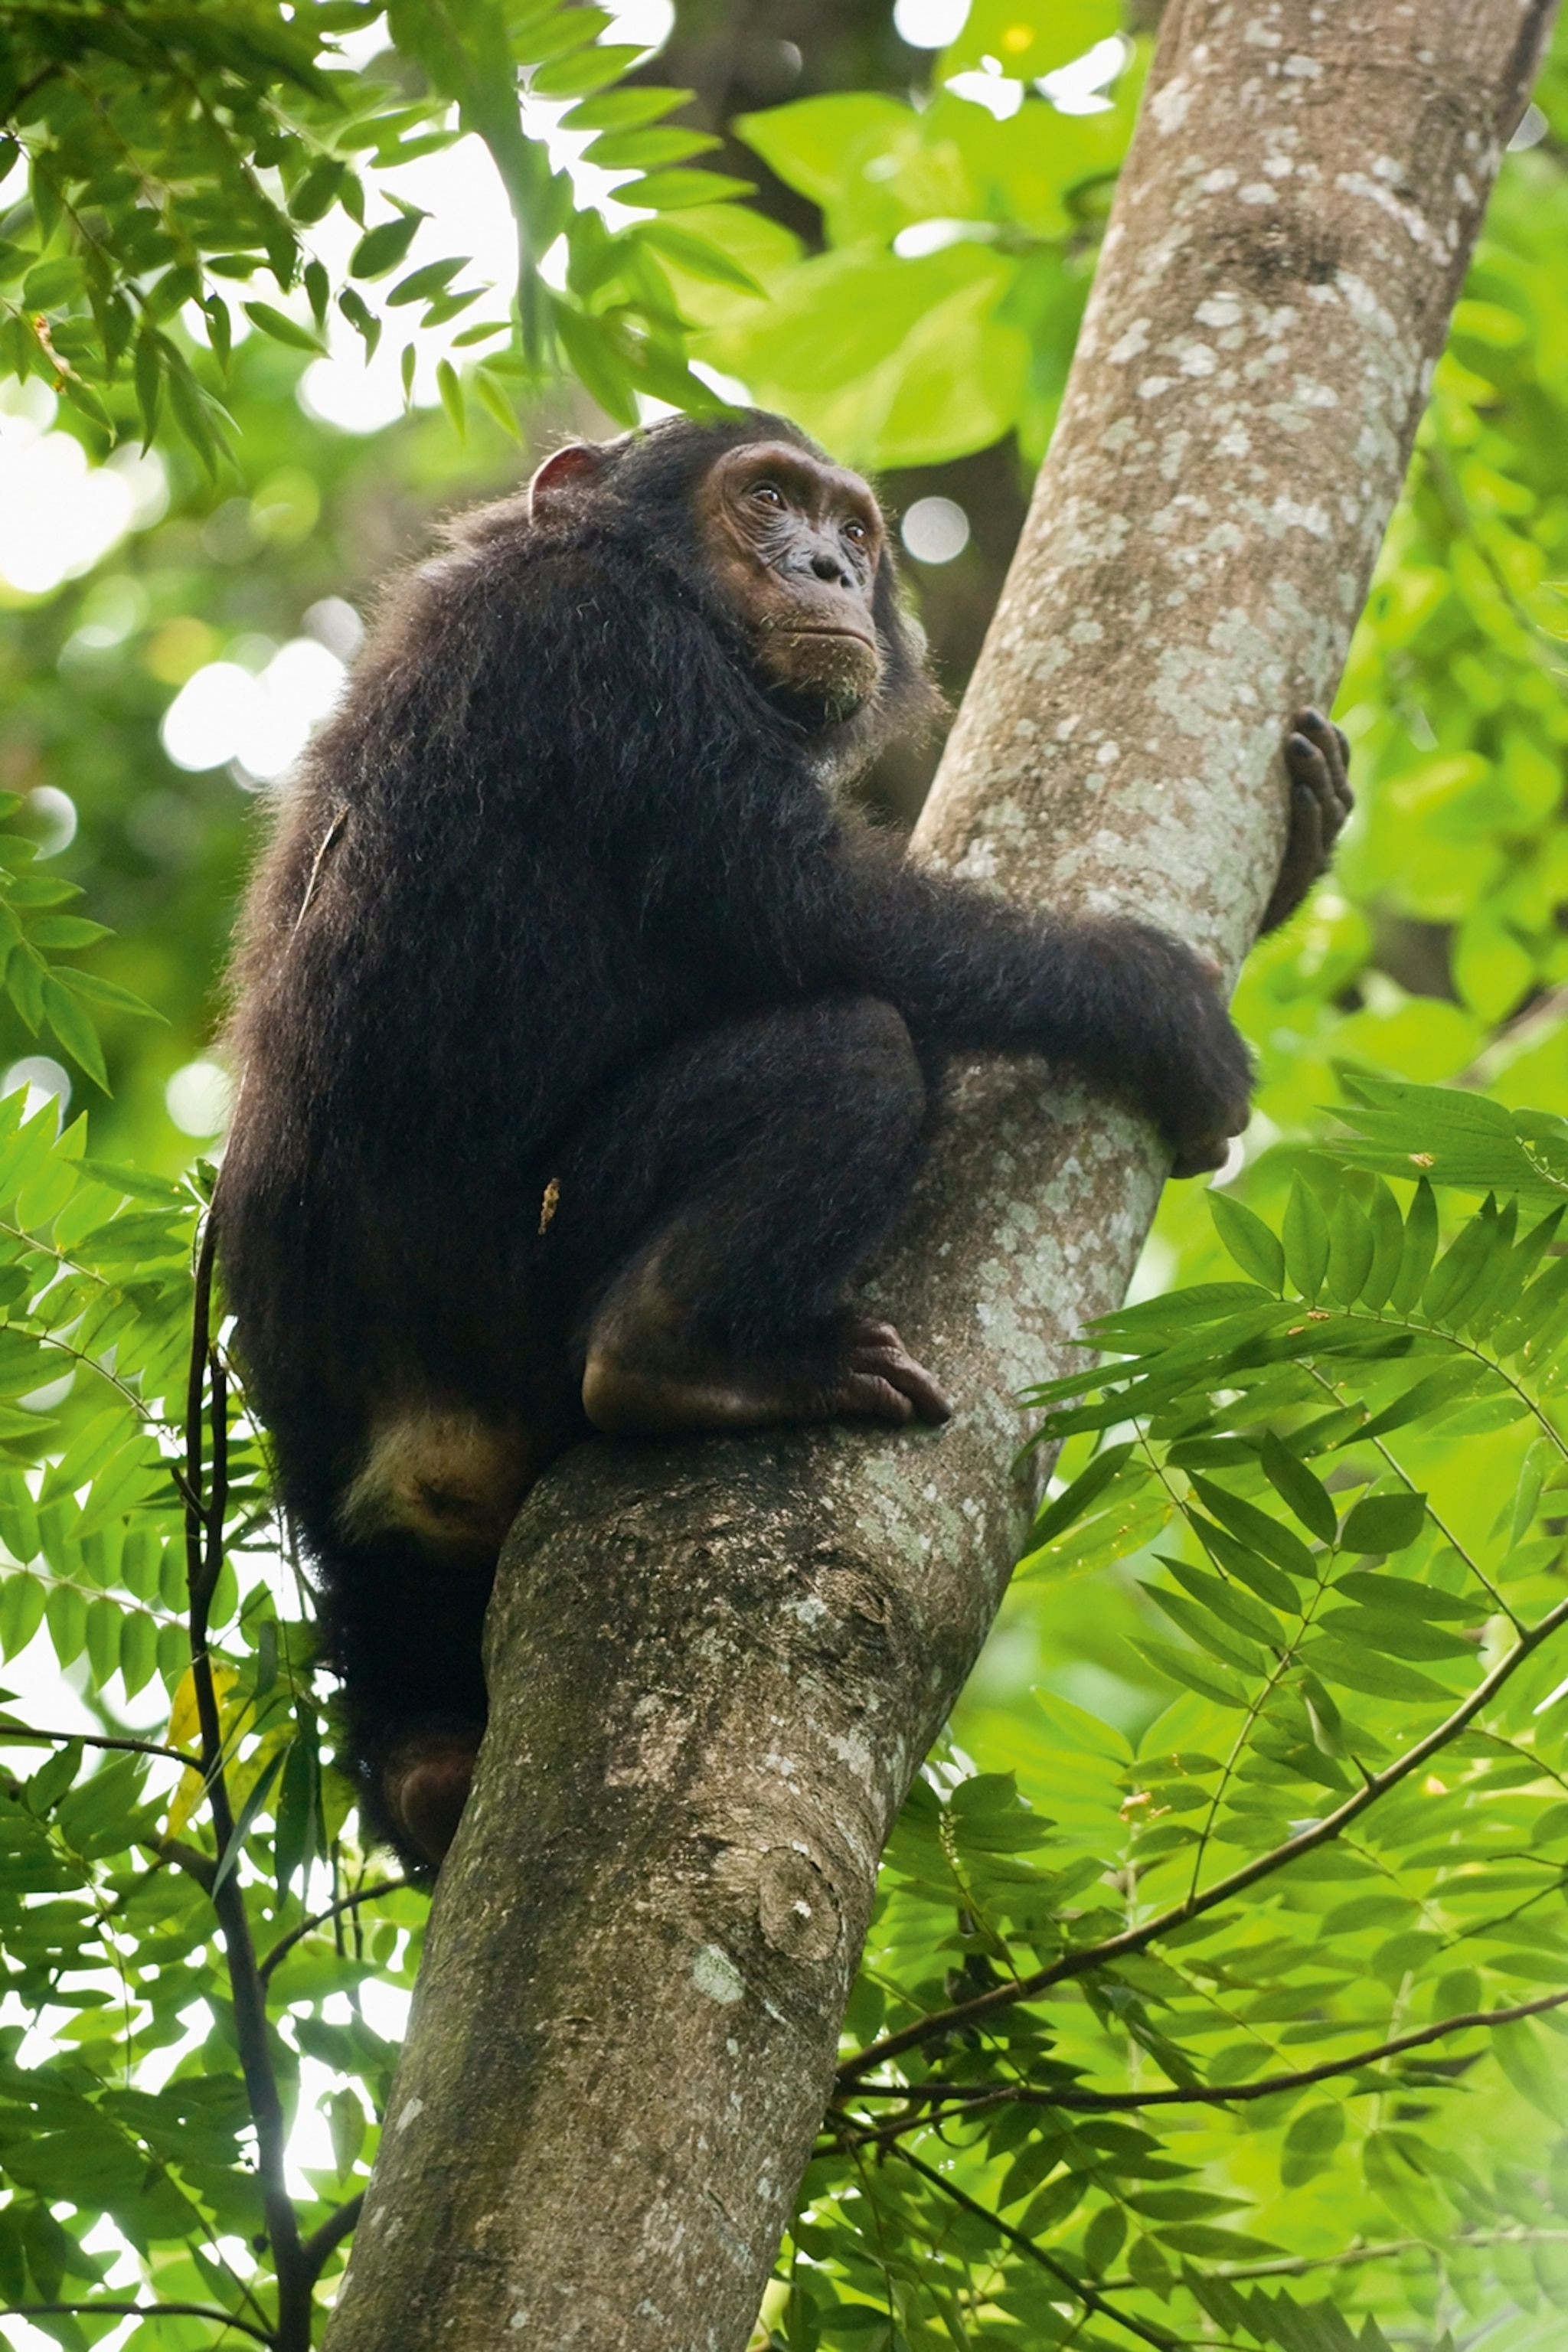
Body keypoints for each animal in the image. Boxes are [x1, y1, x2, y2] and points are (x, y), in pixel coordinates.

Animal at [216, 408, 1352, 1870]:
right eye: (764, 501)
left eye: (853, 527)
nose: (824, 563)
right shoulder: (606, 651)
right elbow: (820, 906)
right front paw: (1149, 1001)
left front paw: (1294, 854)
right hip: (521, 1287)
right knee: (849, 1048)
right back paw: (680, 1359)